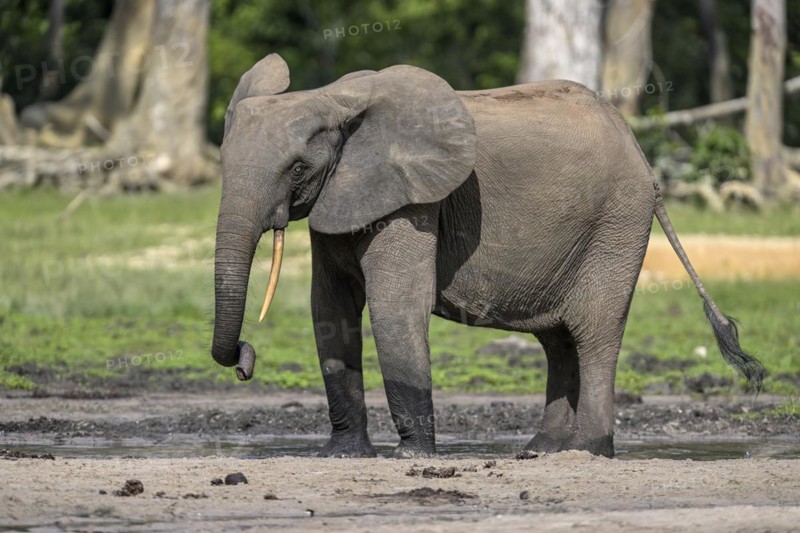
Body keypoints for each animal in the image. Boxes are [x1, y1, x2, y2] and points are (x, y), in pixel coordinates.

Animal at [211, 53, 764, 458]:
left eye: (297, 168)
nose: (244, 360)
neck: (333, 100)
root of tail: (643, 158)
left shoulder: (414, 201)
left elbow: (395, 307)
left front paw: (413, 457)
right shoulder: (342, 198)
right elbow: (330, 310)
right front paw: (343, 455)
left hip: (618, 222)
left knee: (595, 332)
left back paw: (588, 451)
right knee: (558, 339)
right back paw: (543, 451)